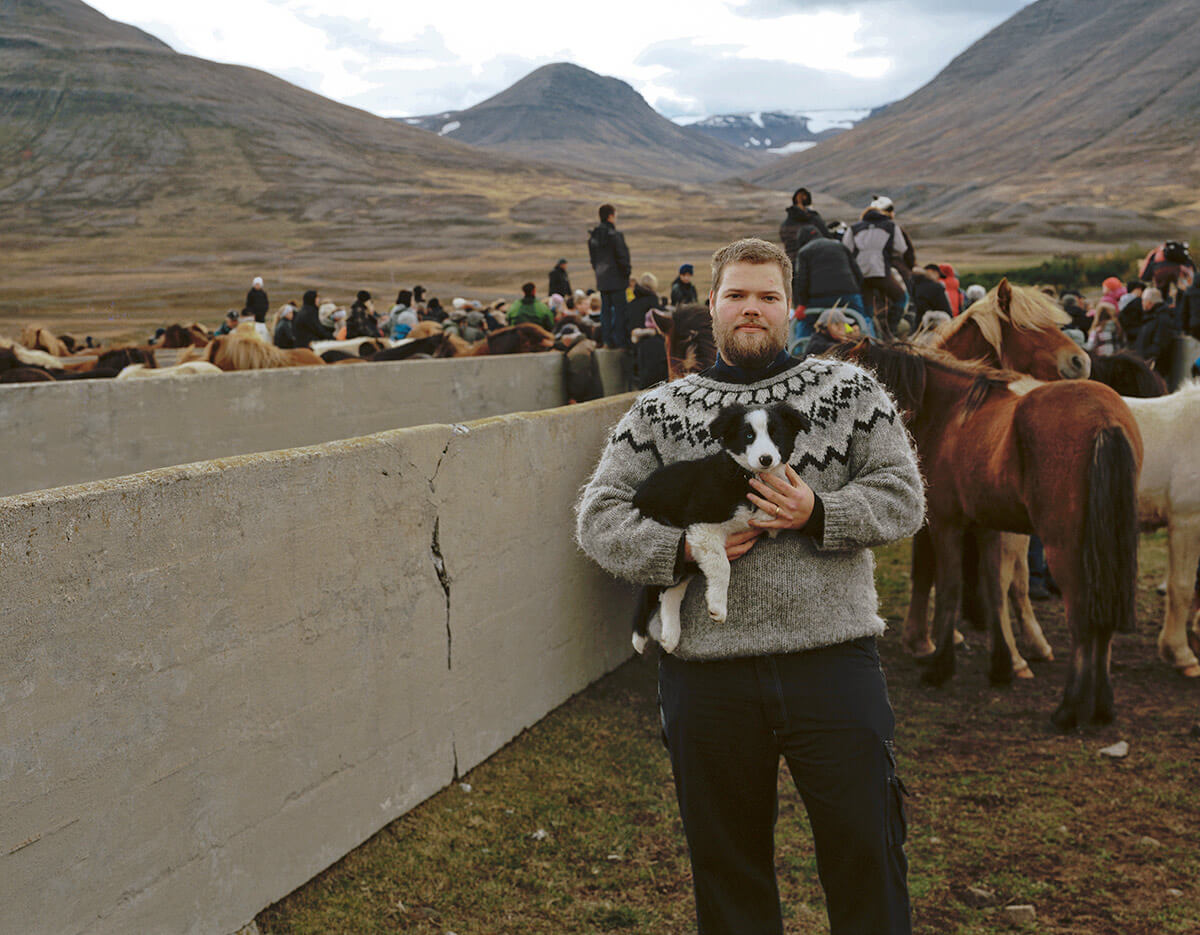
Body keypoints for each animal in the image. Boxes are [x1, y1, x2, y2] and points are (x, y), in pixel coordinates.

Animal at [628, 403, 816, 657]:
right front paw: (718, 606)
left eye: (776, 434)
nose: (765, 459)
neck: (748, 478)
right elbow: (721, 564)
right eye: (748, 436)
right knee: (658, 585)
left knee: (671, 589)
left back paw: (670, 635)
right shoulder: (700, 524)